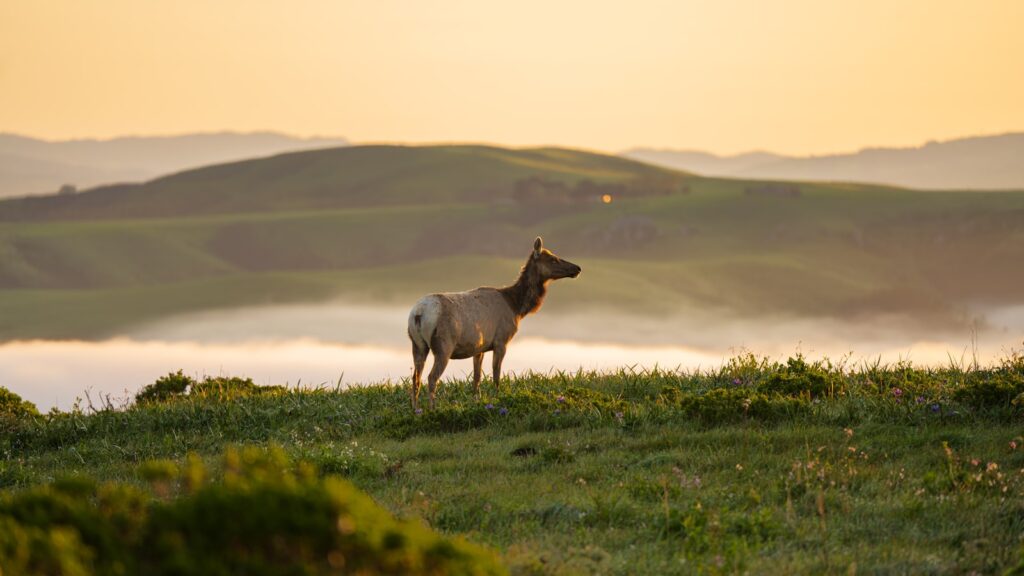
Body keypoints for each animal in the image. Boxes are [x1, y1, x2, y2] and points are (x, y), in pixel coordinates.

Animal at [406, 237, 581, 411]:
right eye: (553, 259)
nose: (577, 268)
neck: (516, 308)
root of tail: (418, 314)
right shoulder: (501, 340)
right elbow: (496, 375)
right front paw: (498, 398)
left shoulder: (479, 347)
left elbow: (477, 378)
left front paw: (476, 401)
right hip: (443, 345)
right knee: (431, 378)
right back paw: (432, 409)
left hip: (417, 344)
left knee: (415, 378)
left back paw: (415, 409)